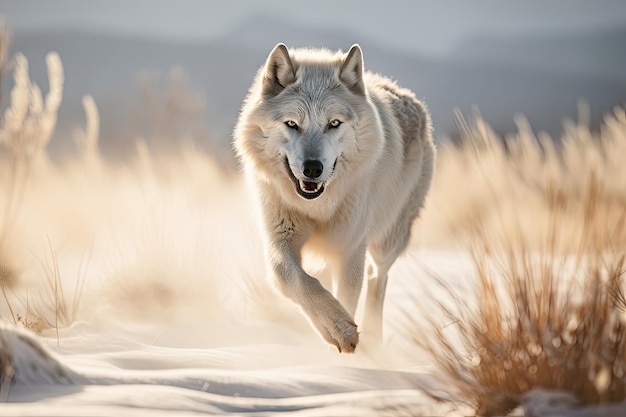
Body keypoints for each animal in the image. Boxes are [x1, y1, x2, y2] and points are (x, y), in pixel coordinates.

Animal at [232, 44, 432, 352]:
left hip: (387, 239)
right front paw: (336, 328)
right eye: (293, 124)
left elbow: (348, 297)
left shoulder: (350, 247)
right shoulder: (279, 239)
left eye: (334, 123)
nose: (313, 168)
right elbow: (295, 279)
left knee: (378, 278)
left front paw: (344, 336)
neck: (317, 206)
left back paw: (374, 340)